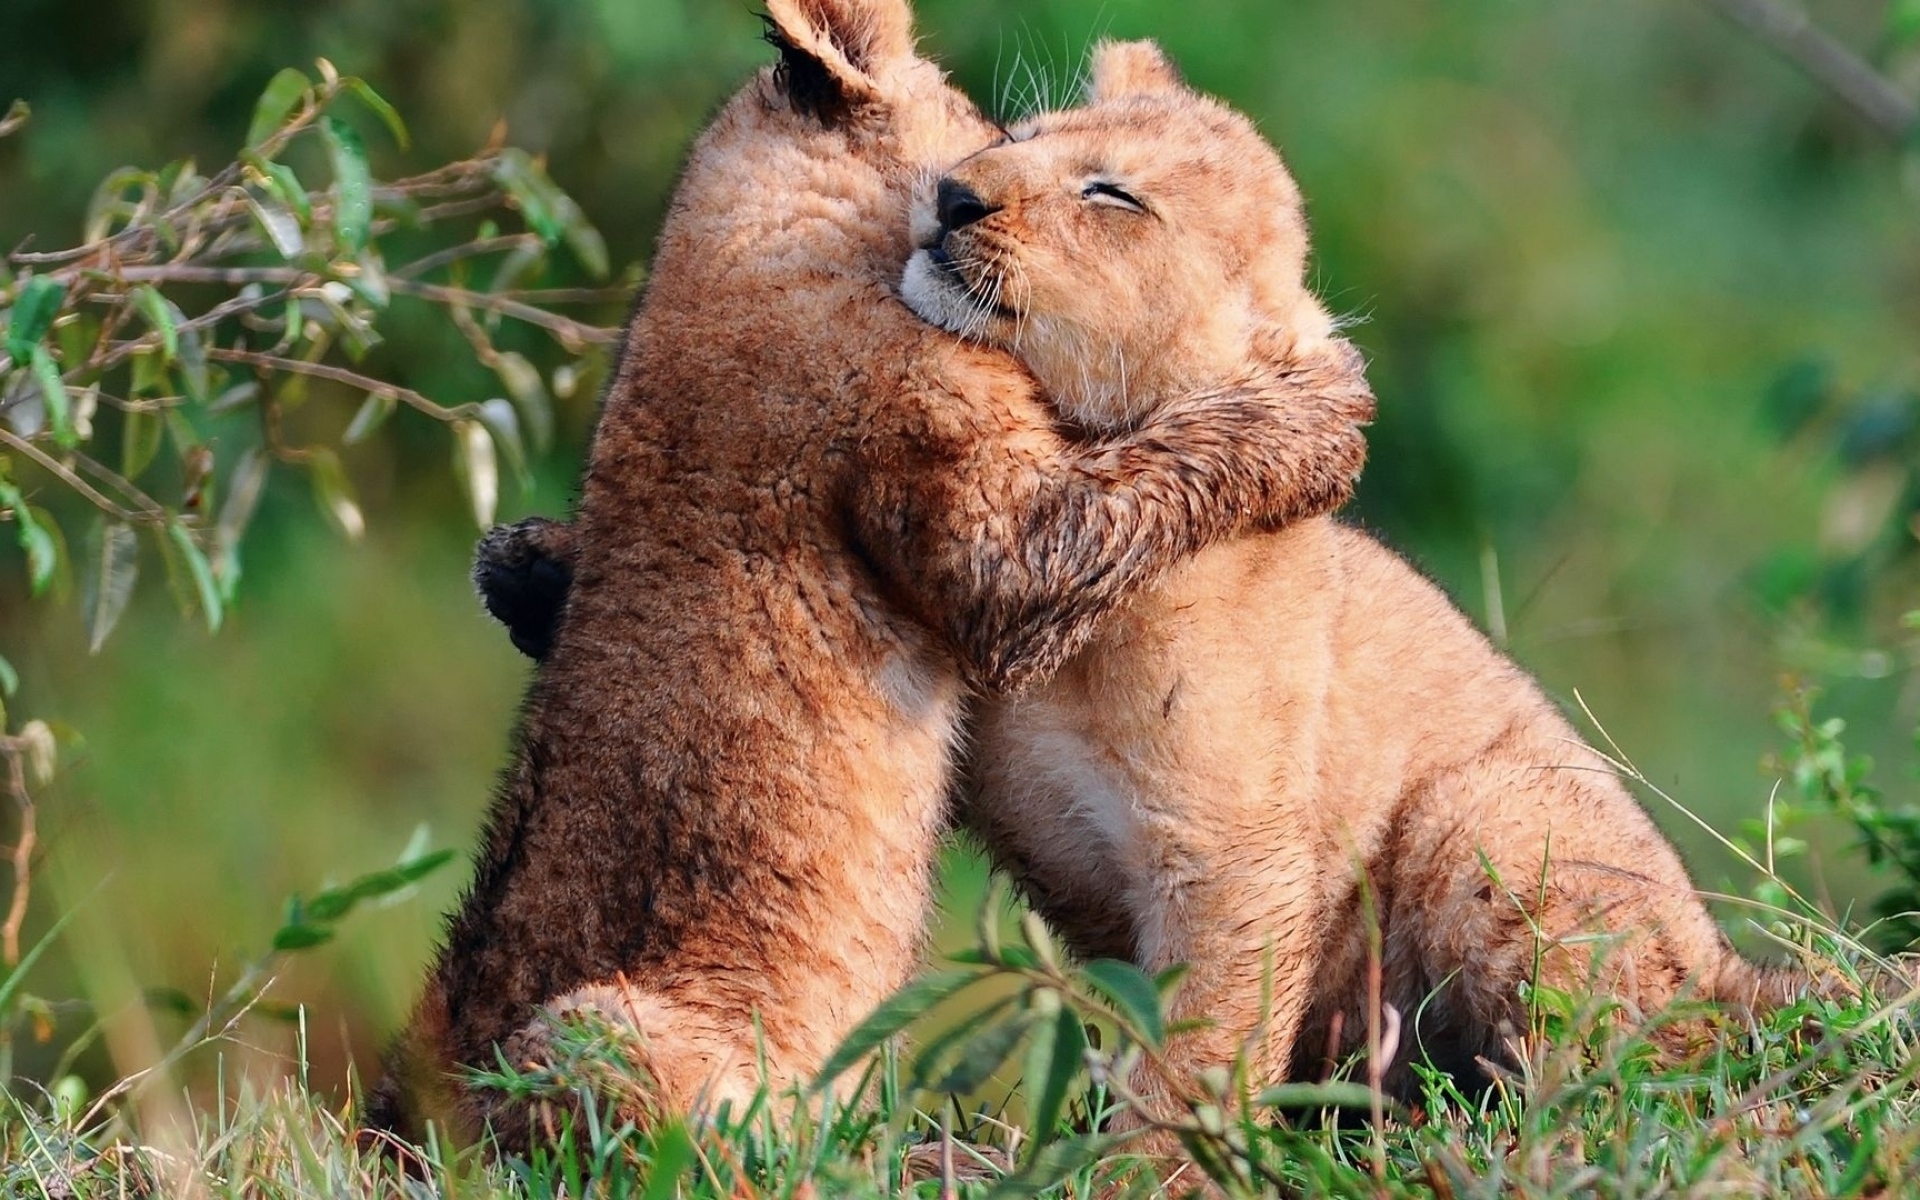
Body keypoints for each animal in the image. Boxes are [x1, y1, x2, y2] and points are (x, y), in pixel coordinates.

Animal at [365, 0, 1374, 1148]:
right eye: (1004, 131)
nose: (962, 194)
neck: (736, 230)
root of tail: (407, 1130)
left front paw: (531, 568)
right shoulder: (997, 534)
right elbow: (1160, 471)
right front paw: (1324, 409)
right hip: (594, 1033)